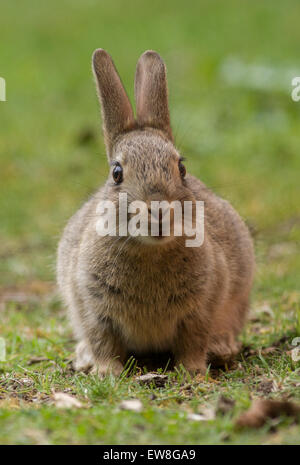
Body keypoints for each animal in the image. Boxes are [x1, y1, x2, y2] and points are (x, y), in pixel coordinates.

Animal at [55, 49, 253, 376]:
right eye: (117, 173)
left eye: (181, 168)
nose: (159, 211)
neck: (150, 251)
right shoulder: (92, 307)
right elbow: (103, 341)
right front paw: (107, 372)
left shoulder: (200, 308)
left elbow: (192, 341)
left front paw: (193, 372)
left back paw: (222, 347)